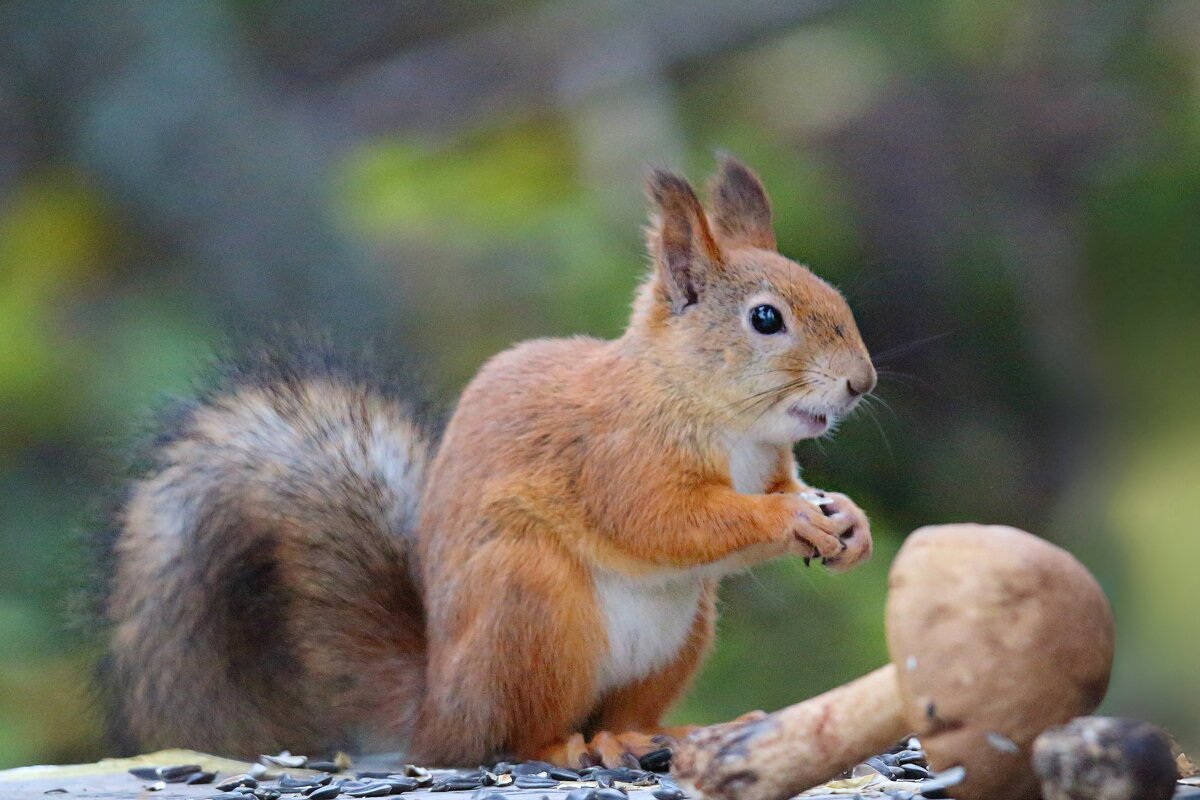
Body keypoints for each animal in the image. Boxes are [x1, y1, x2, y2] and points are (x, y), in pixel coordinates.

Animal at [100, 154, 873, 767]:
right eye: (766, 319)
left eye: (833, 296)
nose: (861, 382)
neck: (724, 419)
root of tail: (436, 710)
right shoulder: (617, 456)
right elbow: (659, 519)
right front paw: (788, 519)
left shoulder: (769, 462)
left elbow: (783, 488)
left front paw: (849, 522)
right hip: (532, 606)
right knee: (516, 735)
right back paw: (570, 745)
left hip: (680, 632)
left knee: (626, 710)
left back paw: (664, 734)